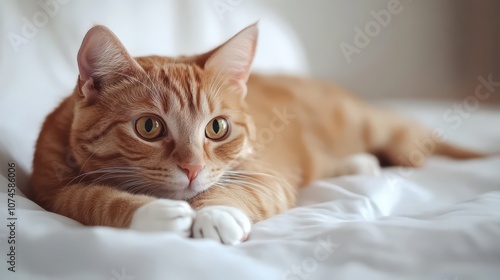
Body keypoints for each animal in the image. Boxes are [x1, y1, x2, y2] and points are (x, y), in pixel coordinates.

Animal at [29, 24, 482, 244]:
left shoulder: (265, 176)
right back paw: (359, 163)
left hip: (378, 128)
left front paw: (214, 214)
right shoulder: (51, 191)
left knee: (409, 135)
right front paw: (154, 211)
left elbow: (232, 191)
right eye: (148, 127)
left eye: (216, 127)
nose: (193, 169)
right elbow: (92, 198)